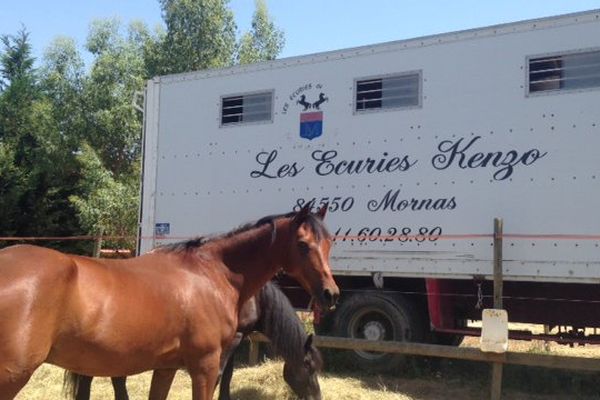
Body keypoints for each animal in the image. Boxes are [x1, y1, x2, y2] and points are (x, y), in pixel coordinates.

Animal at [65, 282, 324, 400]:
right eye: (309, 366)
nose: (317, 397)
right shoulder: (231, 340)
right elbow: (219, 374)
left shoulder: (233, 338)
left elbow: (227, 375)